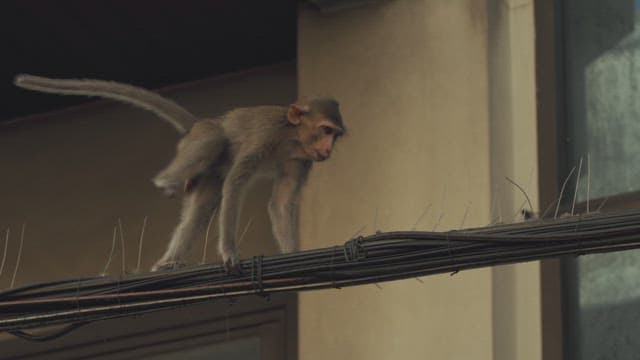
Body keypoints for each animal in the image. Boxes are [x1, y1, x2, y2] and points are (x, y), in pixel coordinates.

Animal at [15, 74, 344, 270]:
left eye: (335, 135)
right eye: (326, 130)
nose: (328, 150)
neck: (293, 137)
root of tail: (200, 122)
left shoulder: (302, 161)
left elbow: (282, 201)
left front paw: (293, 252)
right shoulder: (267, 137)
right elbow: (236, 184)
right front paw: (229, 251)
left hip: (209, 171)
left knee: (202, 206)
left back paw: (170, 260)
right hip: (202, 139)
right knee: (216, 140)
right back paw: (166, 182)